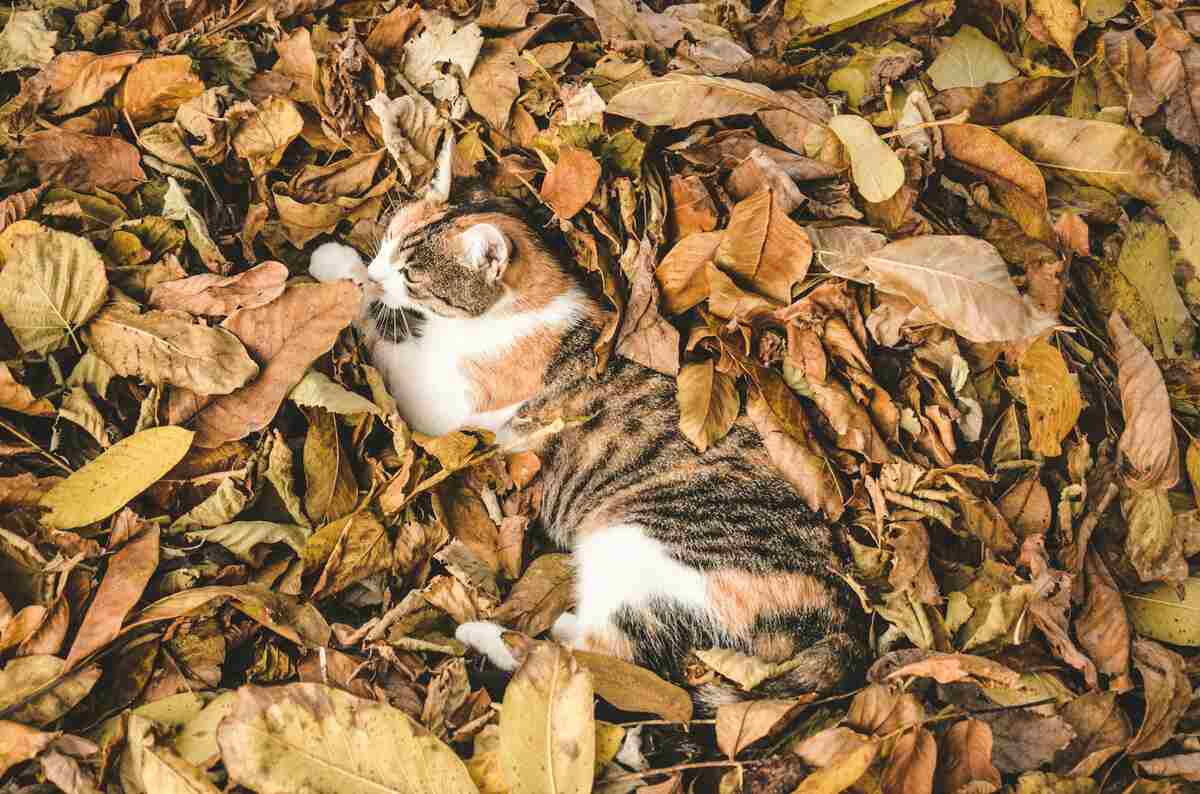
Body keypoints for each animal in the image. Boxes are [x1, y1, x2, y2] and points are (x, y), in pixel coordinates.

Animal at [309, 135, 864, 705]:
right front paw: (351, 267)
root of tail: (838, 614)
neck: (521, 306)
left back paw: (488, 635)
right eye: (388, 242)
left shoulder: (443, 402)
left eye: (412, 275)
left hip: (644, 545)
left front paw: (342, 277)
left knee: (600, 659)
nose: (379, 271)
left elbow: (386, 338)